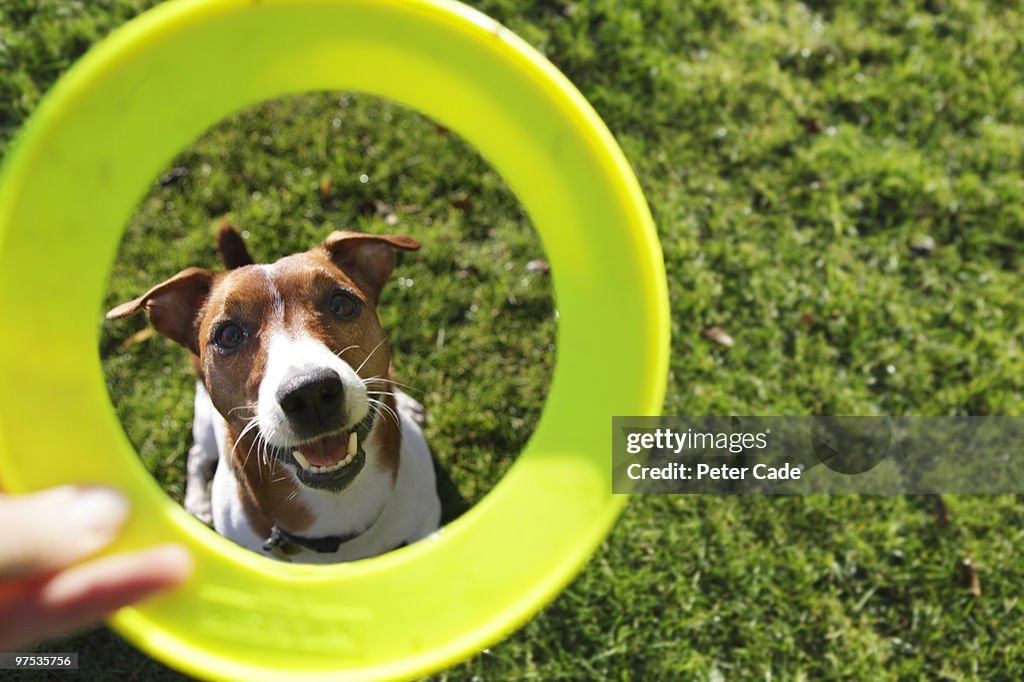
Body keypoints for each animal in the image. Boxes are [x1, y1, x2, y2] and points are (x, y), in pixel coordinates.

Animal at [108, 227, 440, 557]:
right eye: (229, 335)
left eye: (341, 305)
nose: (310, 392)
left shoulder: (427, 520)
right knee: (197, 455)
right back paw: (197, 503)